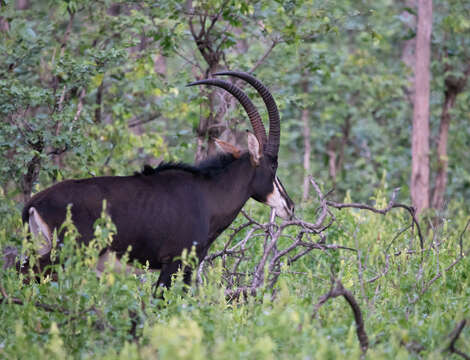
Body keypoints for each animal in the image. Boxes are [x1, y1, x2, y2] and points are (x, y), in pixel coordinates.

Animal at [22, 71, 296, 288]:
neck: (208, 194)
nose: (290, 206)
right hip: (63, 255)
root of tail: (34, 203)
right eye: (273, 166)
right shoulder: (175, 263)